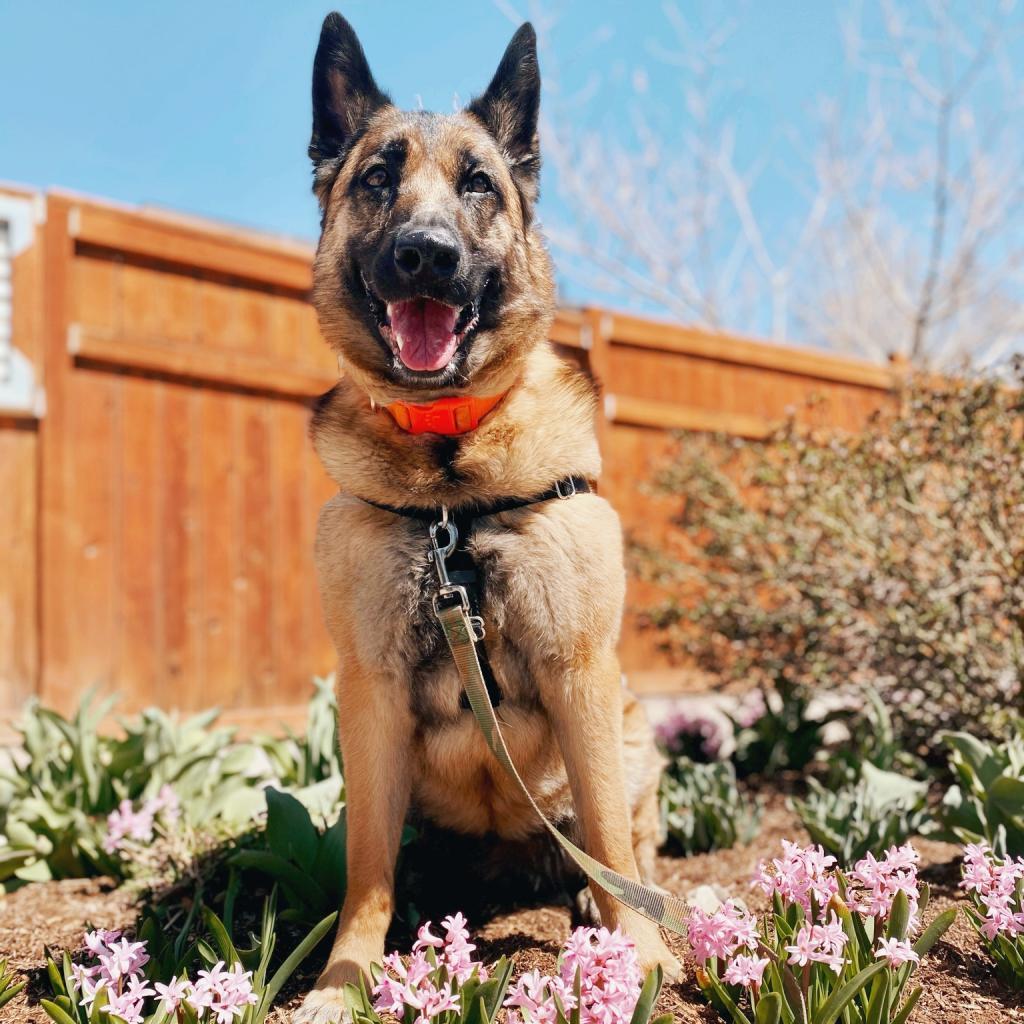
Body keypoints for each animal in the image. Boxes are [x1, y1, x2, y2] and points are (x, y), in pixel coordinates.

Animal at [296, 12, 679, 1019]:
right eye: (377, 177)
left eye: (478, 183)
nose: (425, 253)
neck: (450, 487)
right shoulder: (370, 693)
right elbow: (367, 873)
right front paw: (346, 978)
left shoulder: (580, 671)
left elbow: (612, 840)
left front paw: (643, 957)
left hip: (631, 734)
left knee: (626, 841)